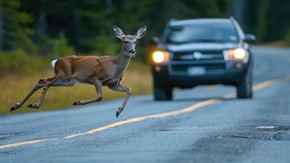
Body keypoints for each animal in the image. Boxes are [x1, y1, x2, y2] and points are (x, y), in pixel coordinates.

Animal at [10, 24, 147, 117]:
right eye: (125, 41)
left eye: (135, 42)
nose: (132, 51)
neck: (115, 67)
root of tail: (56, 61)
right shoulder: (96, 77)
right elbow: (100, 97)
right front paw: (77, 102)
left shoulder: (112, 84)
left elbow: (129, 90)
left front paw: (118, 111)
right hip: (64, 76)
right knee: (47, 82)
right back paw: (34, 105)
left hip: (67, 81)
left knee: (42, 80)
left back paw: (16, 105)